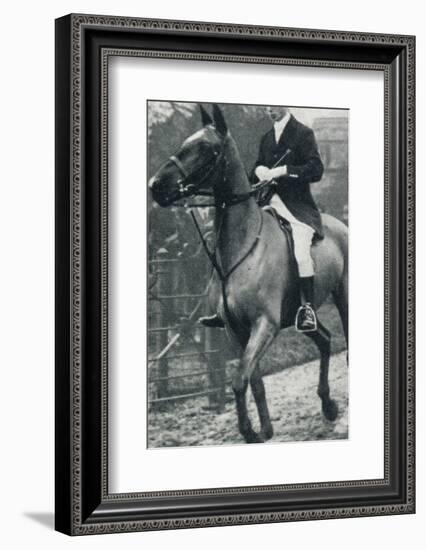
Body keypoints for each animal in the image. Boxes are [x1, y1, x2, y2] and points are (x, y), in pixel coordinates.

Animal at [148, 103, 348, 446]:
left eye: (207, 148)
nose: (155, 186)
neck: (242, 247)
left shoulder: (264, 324)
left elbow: (240, 380)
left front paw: (250, 431)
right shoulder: (236, 328)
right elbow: (252, 380)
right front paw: (264, 429)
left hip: (344, 297)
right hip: (300, 314)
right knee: (323, 341)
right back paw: (328, 405)